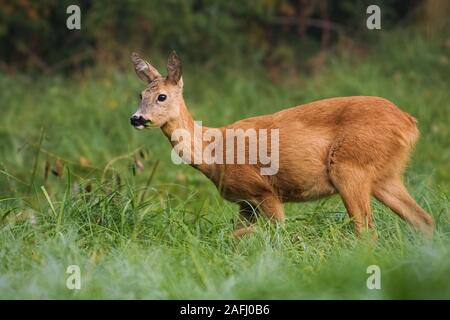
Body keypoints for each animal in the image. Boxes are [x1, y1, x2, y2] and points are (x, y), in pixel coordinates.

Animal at [128, 51, 434, 238]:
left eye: (162, 96)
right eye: (141, 94)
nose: (136, 118)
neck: (213, 153)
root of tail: (409, 123)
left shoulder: (264, 191)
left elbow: (272, 231)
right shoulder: (245, 203)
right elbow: (235, 235)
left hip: (350, 166)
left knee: (367, 230)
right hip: (385, 175)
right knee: (424, 220)